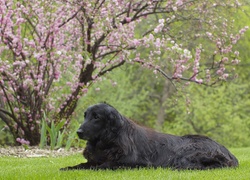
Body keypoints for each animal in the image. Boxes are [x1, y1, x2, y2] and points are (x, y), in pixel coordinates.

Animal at [60, 102, 238, 170]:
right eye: (85, 116)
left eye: (96, 117)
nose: (79, 132)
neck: (107, 142)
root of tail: (230, 153)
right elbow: (82, 164)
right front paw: (68, 167)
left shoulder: (131, 162)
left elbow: (103, 165)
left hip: (185, 153)